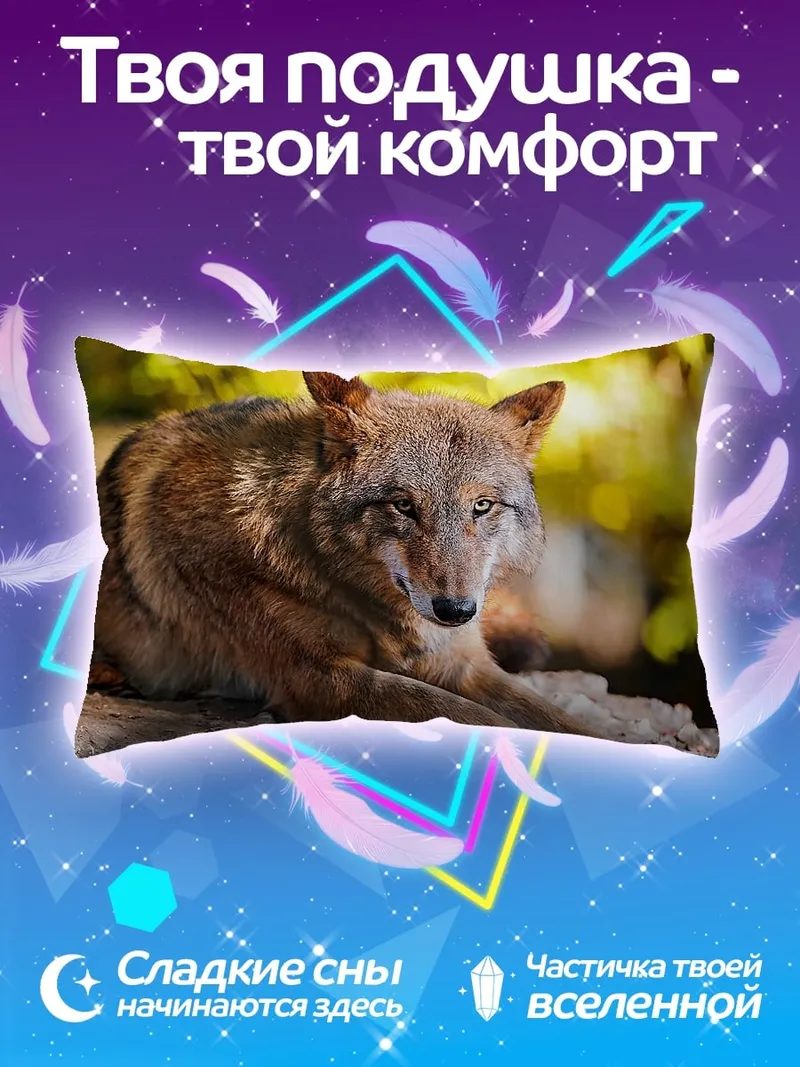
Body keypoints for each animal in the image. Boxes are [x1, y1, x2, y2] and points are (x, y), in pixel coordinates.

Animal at [90, 371, 594, 737]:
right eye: (404, 505)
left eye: (483, 505)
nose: (456, 611)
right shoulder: (320, 678)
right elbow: (473, 717)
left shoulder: (463, 662)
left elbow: (562, 720)